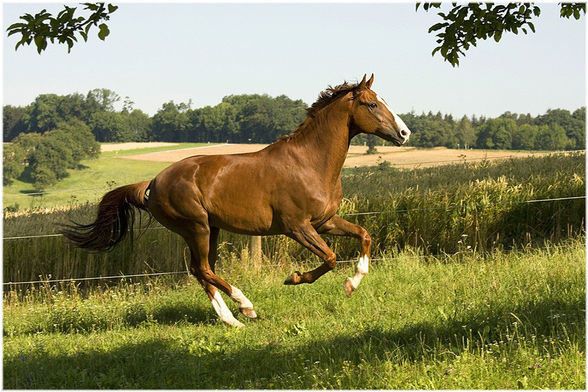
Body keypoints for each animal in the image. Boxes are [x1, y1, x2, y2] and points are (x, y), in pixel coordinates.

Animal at [59, 74, 408, 328]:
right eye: (372, 104)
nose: (404, 133)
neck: (309, 162)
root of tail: (153, 183)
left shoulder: (325, 222)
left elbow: (364, 236)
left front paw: (352, 283)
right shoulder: (297, 227)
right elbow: (331, 257)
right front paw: (294, 278)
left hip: (210, 230)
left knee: (202, 272)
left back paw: (233, 319)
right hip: (196, 227)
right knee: (202, 269)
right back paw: (245, 307)